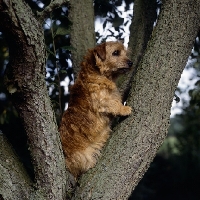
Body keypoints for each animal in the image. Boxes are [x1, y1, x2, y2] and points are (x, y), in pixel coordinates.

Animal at [60, 41, 134, 178]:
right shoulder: (102, 101)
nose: (131, 62)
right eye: (116, 52)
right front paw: (124, 108)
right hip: (84, 157)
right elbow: (114, 104)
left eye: (125, 53)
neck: (98, 73)